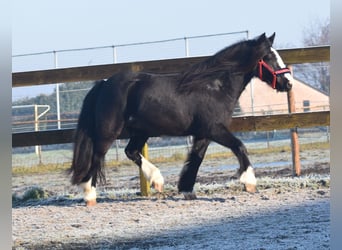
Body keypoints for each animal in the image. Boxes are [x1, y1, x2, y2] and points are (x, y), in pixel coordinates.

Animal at [70, 32, 294, 205]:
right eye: (268, 57)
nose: (289, 83)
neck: (215, 87)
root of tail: (104, 84)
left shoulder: (203, 134)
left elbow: (196, 159)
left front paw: (187, 190)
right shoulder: (215, 129)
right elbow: (239, 146)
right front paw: (249, 182)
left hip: (141, 131)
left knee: (131, 152)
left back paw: (157, 180)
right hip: (108, 132)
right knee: (96, 157)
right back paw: (89, 195)